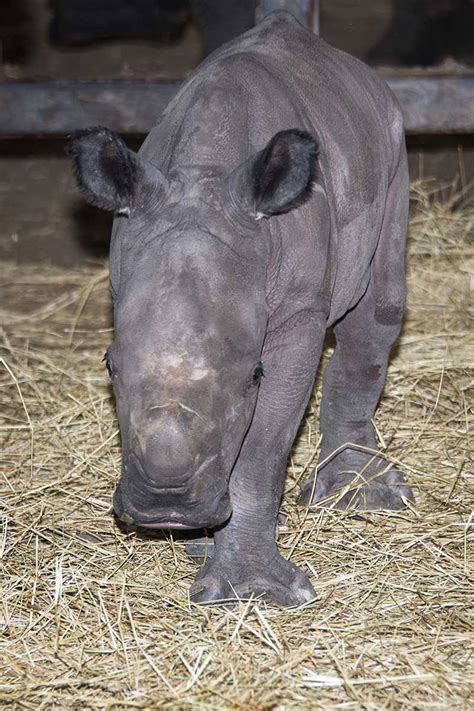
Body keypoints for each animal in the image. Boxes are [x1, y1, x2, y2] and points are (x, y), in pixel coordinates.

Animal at [69, 12, 412, 608]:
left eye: (254, 374)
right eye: (109, 367)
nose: (166, 506)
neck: (206, 169)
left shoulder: (297, 311)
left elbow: (262, 451)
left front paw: (253, 590)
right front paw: (200, 545)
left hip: (390, 142)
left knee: (376, 316)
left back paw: (362, 495)